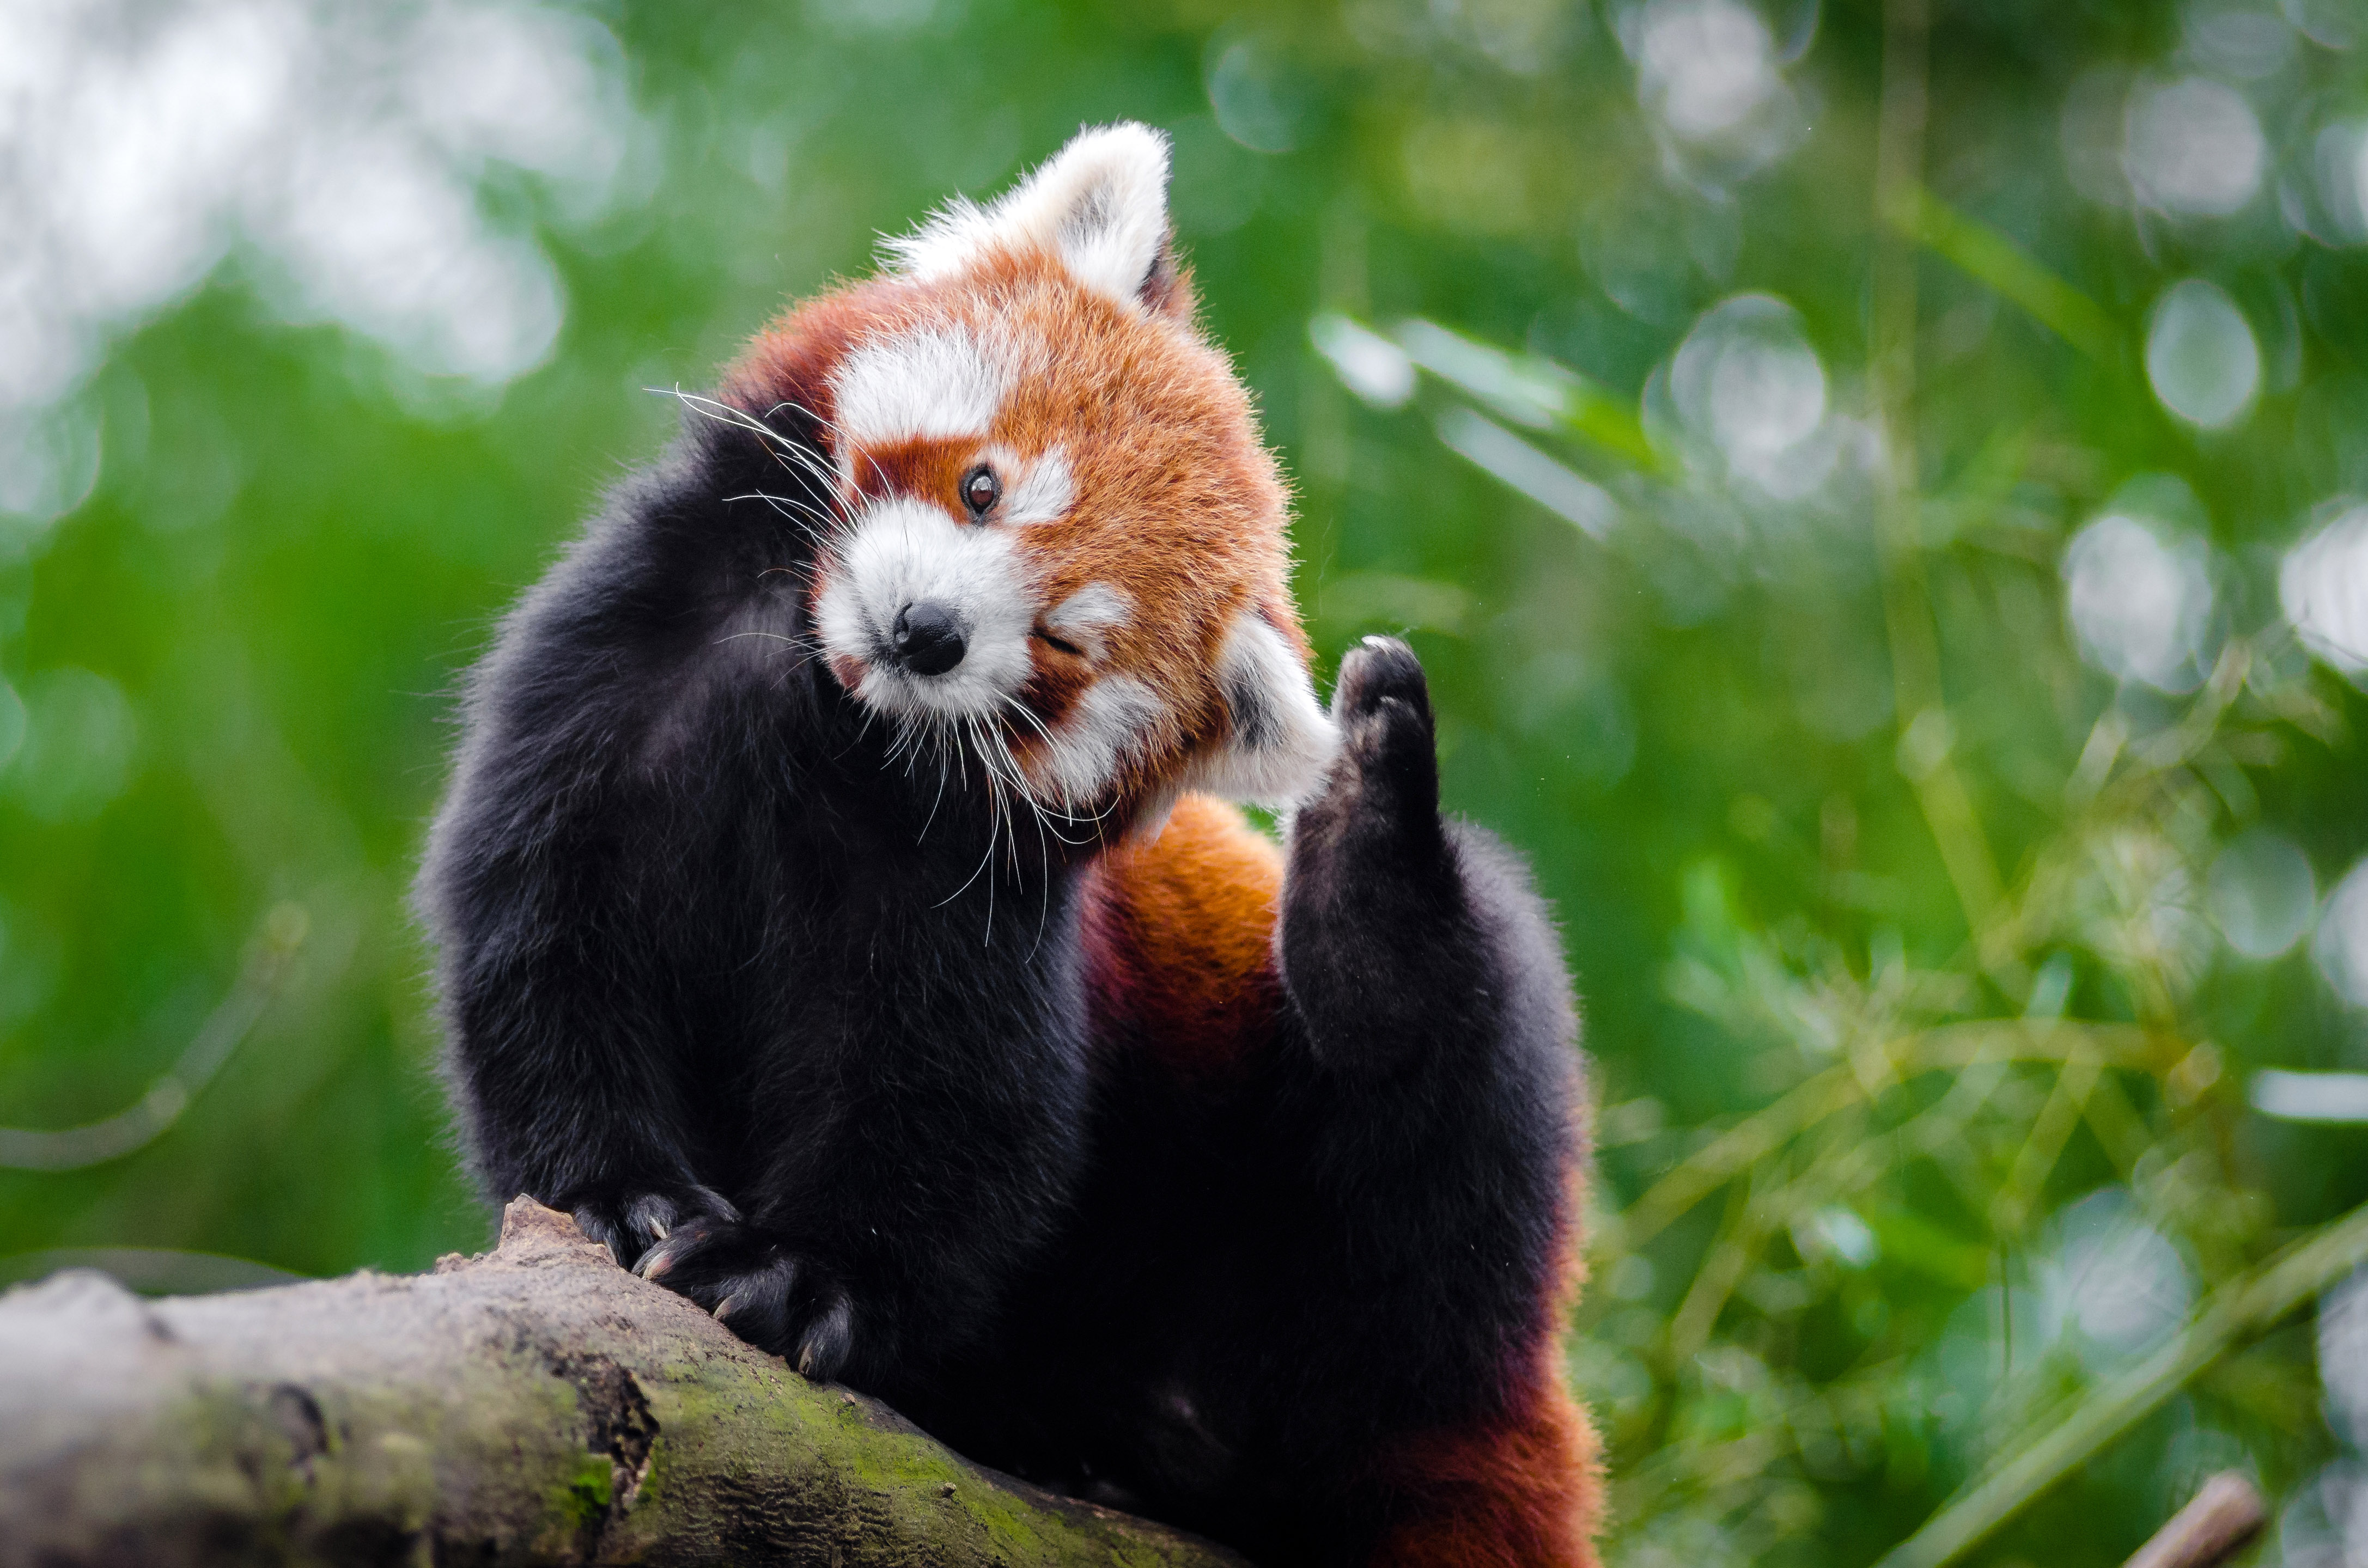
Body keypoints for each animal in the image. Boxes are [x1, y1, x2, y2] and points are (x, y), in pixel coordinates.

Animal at [428, 123, 1610, 1568]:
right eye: (983, 486)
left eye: (1063, 640)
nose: (928, 632)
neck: (825, 708)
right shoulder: (613, 688)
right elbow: (547, 948)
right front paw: (615, 1196)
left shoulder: (970, 893)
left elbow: (947, 1104)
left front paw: (797, 1275)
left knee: (1447, 1139)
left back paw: (1367, 869)